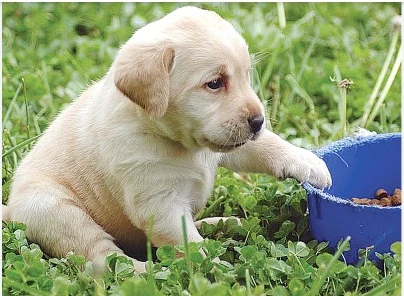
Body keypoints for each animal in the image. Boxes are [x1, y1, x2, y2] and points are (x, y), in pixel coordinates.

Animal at [3, 6, 332, 272]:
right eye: (215, 83)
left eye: (246, 75)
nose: (258, 121)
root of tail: (13, 210)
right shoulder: (160, 204)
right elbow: (189, 245)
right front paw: (216, 269)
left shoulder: (228, 145)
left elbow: (265, 145)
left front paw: (309, 163)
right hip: (55, 209)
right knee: (102, 258)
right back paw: (142, 270)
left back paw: (220, 224)